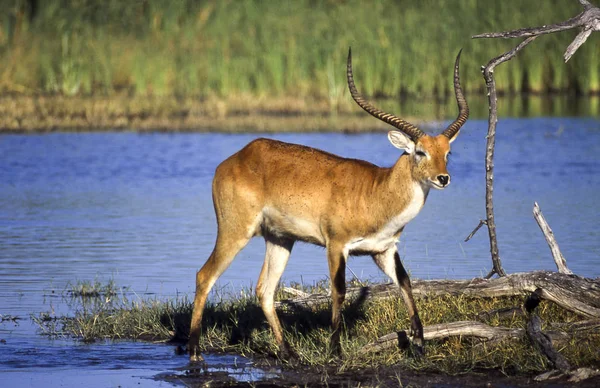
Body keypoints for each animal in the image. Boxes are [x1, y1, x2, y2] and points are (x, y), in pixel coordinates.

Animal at [188, 47, 468, 360]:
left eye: (447, 152)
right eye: (420, 152)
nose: (443, 178)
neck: (377, 191)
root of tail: (233, 159)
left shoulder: (384, 250)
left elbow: (406, 283)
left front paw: (419, 344)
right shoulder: (336, 245)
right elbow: (339, 290)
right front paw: (335, 350)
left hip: (280, 239)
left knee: (264, 289)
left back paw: (288, 352)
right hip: (236, 231)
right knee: (204, 275)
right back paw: (194, 351)